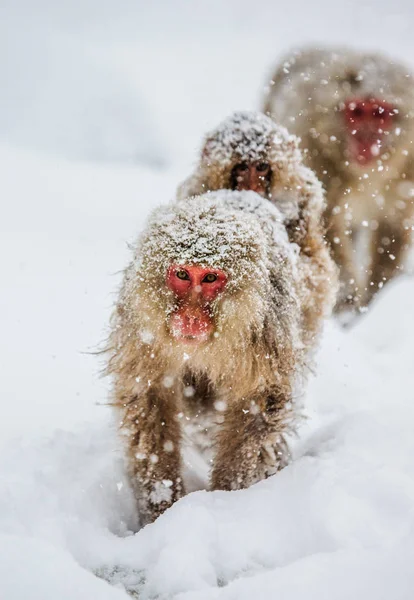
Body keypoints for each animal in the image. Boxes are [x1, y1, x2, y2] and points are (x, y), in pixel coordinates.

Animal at [106, 190, 336, 524]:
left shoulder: (265, 334)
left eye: (210, 278)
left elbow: (256, 406)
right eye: (182, 274)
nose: (189, 318)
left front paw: (225, 497)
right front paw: (160, 505)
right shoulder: (142, 329)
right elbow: (149, 401)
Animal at [178, 112, 336, 344]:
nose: (252, 185)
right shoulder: (194, 189)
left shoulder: (306, 198)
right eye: (242, 167)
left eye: (261, 167)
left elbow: (315, 270)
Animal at [264, 46, 414, 316]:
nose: (365, 139)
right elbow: (323, 223)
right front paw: (347, 302)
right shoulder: (311, 146)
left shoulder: (409, 164)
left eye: (380, 115)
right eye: (356, 112)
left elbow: (393, 227)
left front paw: (377, 298)